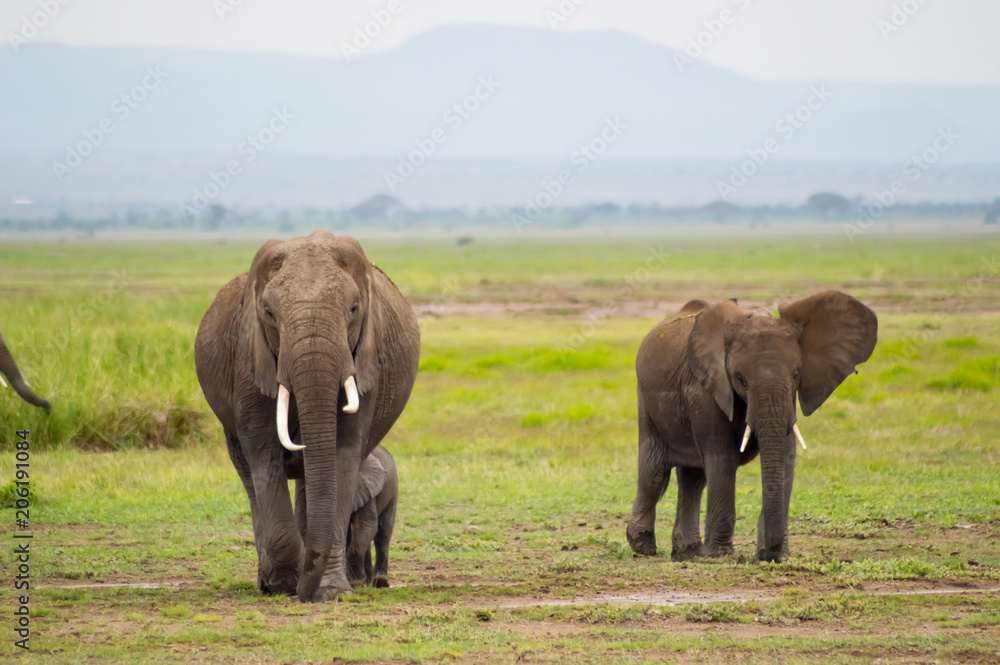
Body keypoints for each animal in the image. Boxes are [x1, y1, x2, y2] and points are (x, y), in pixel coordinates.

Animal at [346, 446, 396, 588]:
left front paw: (355, 582)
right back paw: (368, 582)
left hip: (392, 491)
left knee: (383, 532)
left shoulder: (367, 488)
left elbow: (367, 525)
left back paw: (380, 581)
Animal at [624, 290, 876, 560]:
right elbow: (722, 457)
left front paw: (778, 556)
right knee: (655, 470)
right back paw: (643, 546)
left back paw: (687, 553)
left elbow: (786, 457)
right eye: (740, 379)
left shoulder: (789, 399)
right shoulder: (705, 387)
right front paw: (719, 556)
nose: (767, 555)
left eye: (796, 375)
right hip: (645, 398)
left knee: (693, 478)